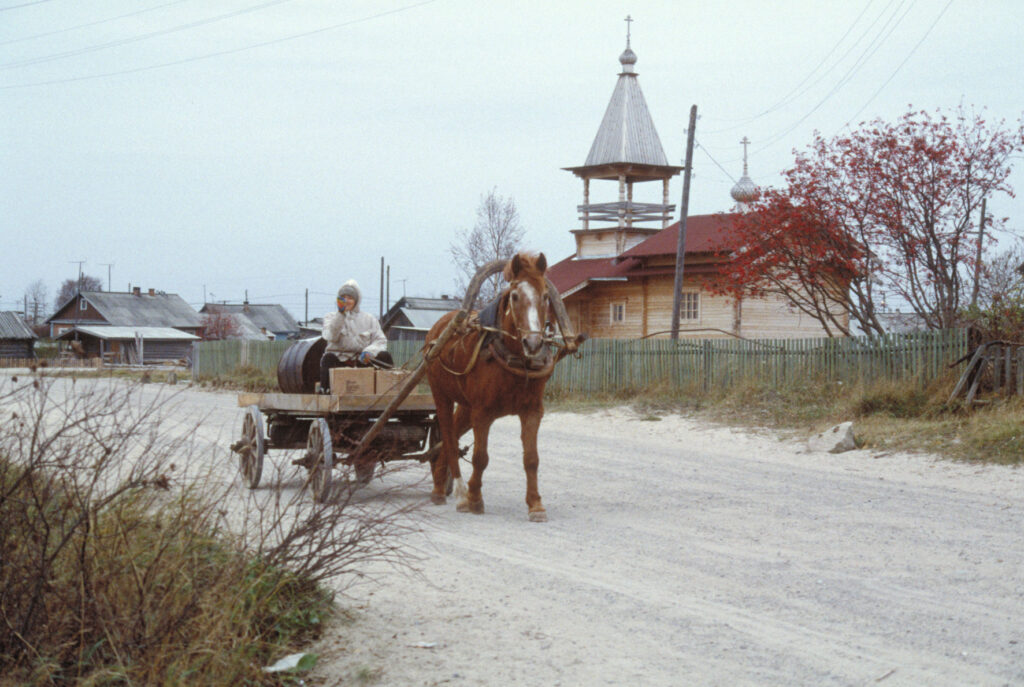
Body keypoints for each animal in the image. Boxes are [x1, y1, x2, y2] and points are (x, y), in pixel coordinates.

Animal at [423, 250, 557, 522]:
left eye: (545, 296)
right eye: (515, 295)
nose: (533, 343)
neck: (513, 359)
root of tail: (439, 328)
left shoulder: (532, 411)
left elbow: (531, 459)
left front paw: (536, 504)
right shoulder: (482, 413)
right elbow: (480, 457)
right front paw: (474, 498)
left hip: (465, 406)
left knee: (452, 434)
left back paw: (440, 486)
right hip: (441, 395)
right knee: (449, 439)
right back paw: (455, 493)